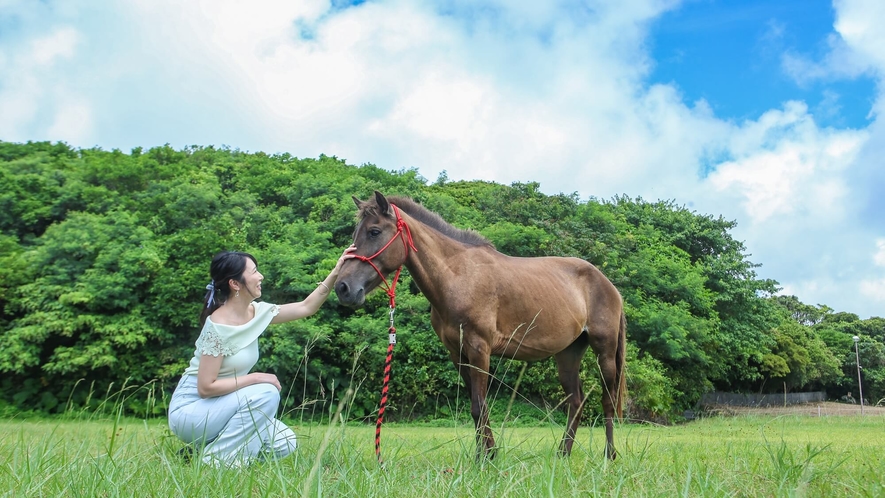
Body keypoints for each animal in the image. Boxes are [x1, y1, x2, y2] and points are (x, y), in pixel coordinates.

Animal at [334, 191, 628, 460]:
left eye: (374, 231)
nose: (343, 288)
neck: (458, 277)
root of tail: (608, 285)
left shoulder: (479, 348)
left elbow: (479, 405)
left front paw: (485, 458)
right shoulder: (458, 353)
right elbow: (478, 408)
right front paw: (486, 454)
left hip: (604, 351)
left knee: (607, 400)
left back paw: (609, 455)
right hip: (568, 353)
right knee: (576, 401)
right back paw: (562, 454)